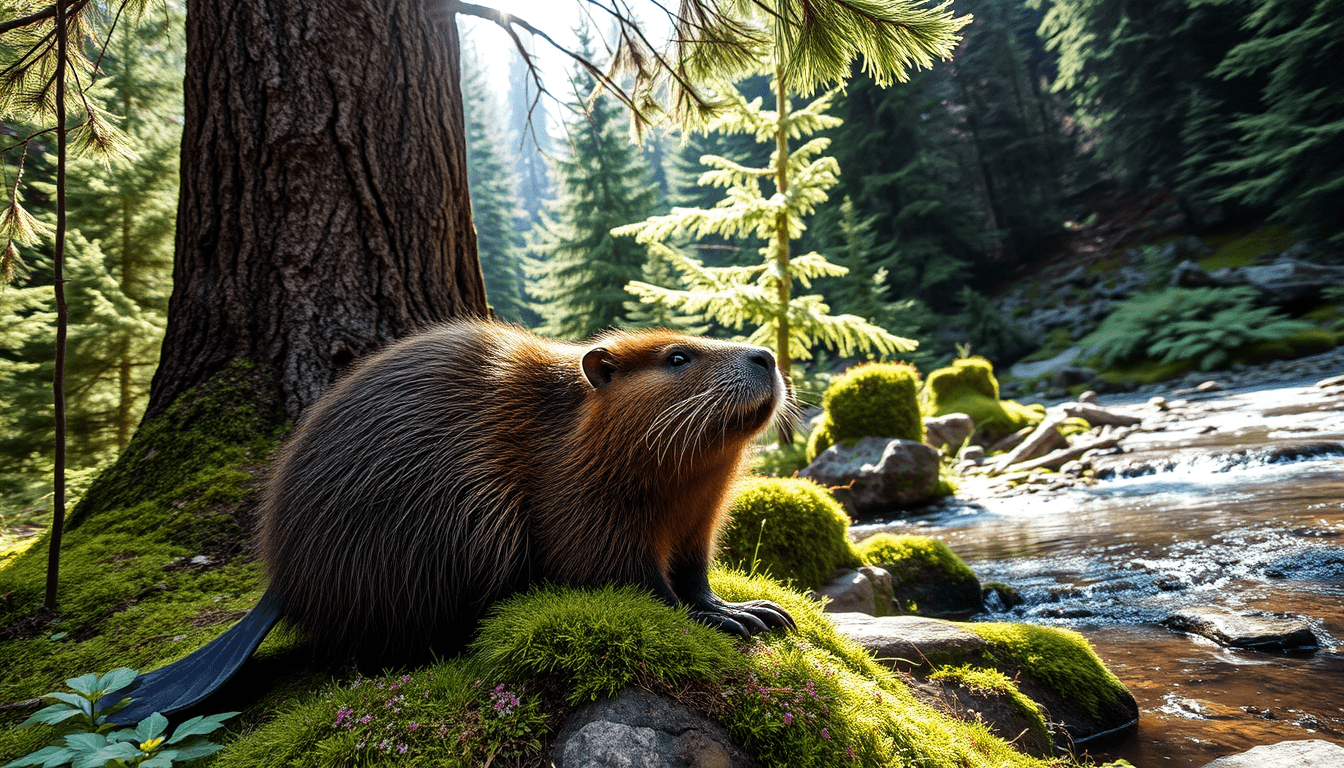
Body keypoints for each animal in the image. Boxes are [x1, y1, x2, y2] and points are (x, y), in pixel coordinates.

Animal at [256, 321, 790, 664]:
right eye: (678, 357)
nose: (766, 356)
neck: (569, 430)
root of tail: (277, 588)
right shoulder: (579, 502)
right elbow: (625, 579)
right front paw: (721, 622)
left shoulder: (699, 519)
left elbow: (695, 574)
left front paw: (752, 611)